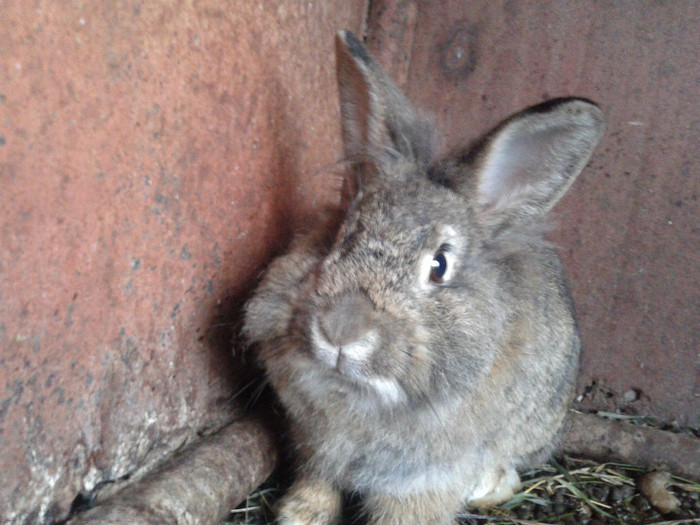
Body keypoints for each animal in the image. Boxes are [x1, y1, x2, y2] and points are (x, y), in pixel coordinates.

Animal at [243, 30, 604, 524]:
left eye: (440, 265)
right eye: (341, 236)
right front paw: (299, 514)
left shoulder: (424, 481)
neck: (360, 398)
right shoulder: (315, 447)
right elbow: (318, 480)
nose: (340, 331)